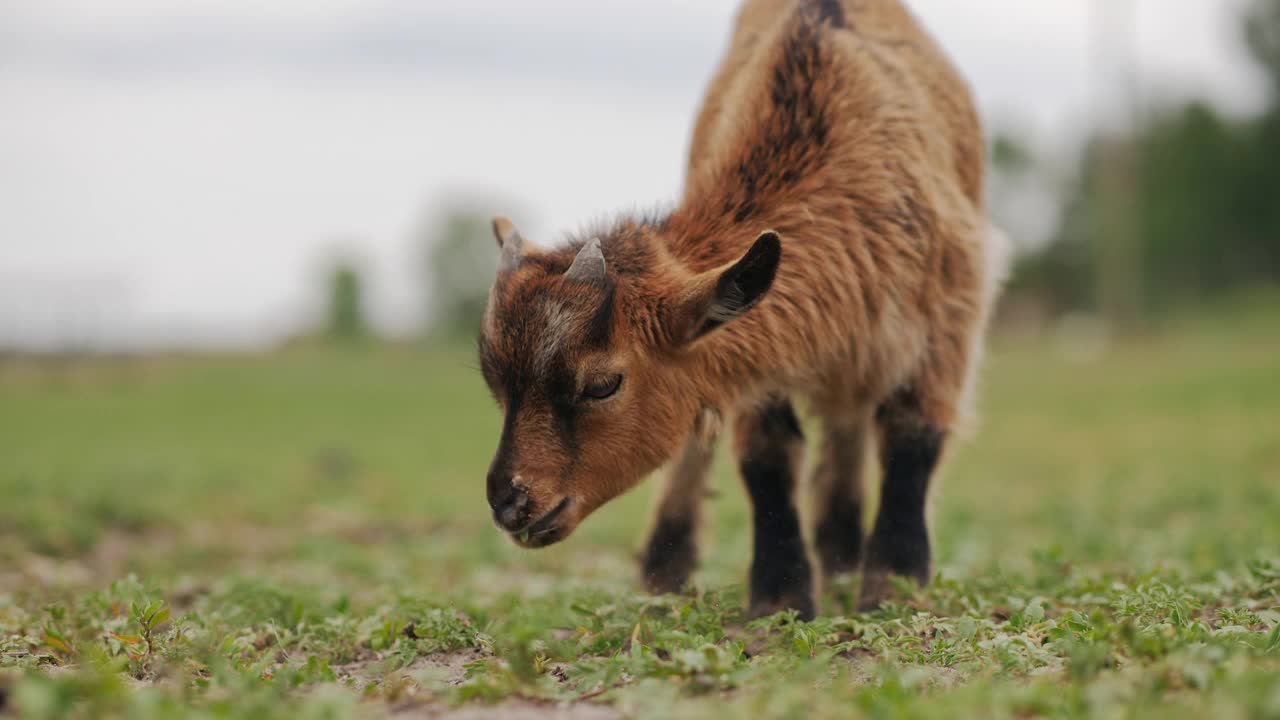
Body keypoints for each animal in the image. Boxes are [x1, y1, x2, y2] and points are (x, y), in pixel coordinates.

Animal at [476, 0, 1003, 617]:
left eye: (602, 384)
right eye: (496, 385)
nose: (510, 503)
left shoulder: (949, 317)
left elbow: (913, 435)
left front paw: (893, 587)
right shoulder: (750, 351)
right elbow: (766, 455)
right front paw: (780, 598)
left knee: (848, 426)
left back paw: (843, 562)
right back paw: (667, 569)